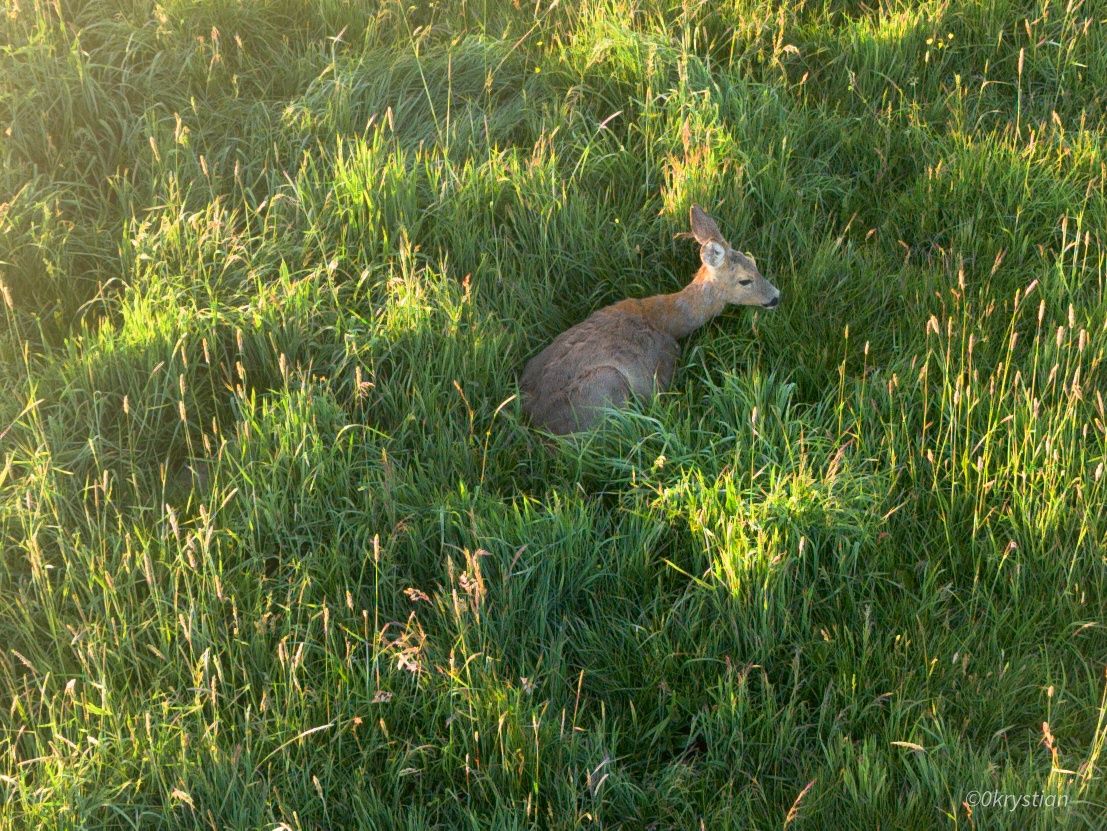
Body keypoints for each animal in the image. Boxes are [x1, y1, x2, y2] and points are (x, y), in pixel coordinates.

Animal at [518, 204, 779, 435]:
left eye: (754, 262)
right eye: (745, 280)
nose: (776, 296)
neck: (664, 319)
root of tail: (535, 420)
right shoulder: (664, 365)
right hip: (607, 384)